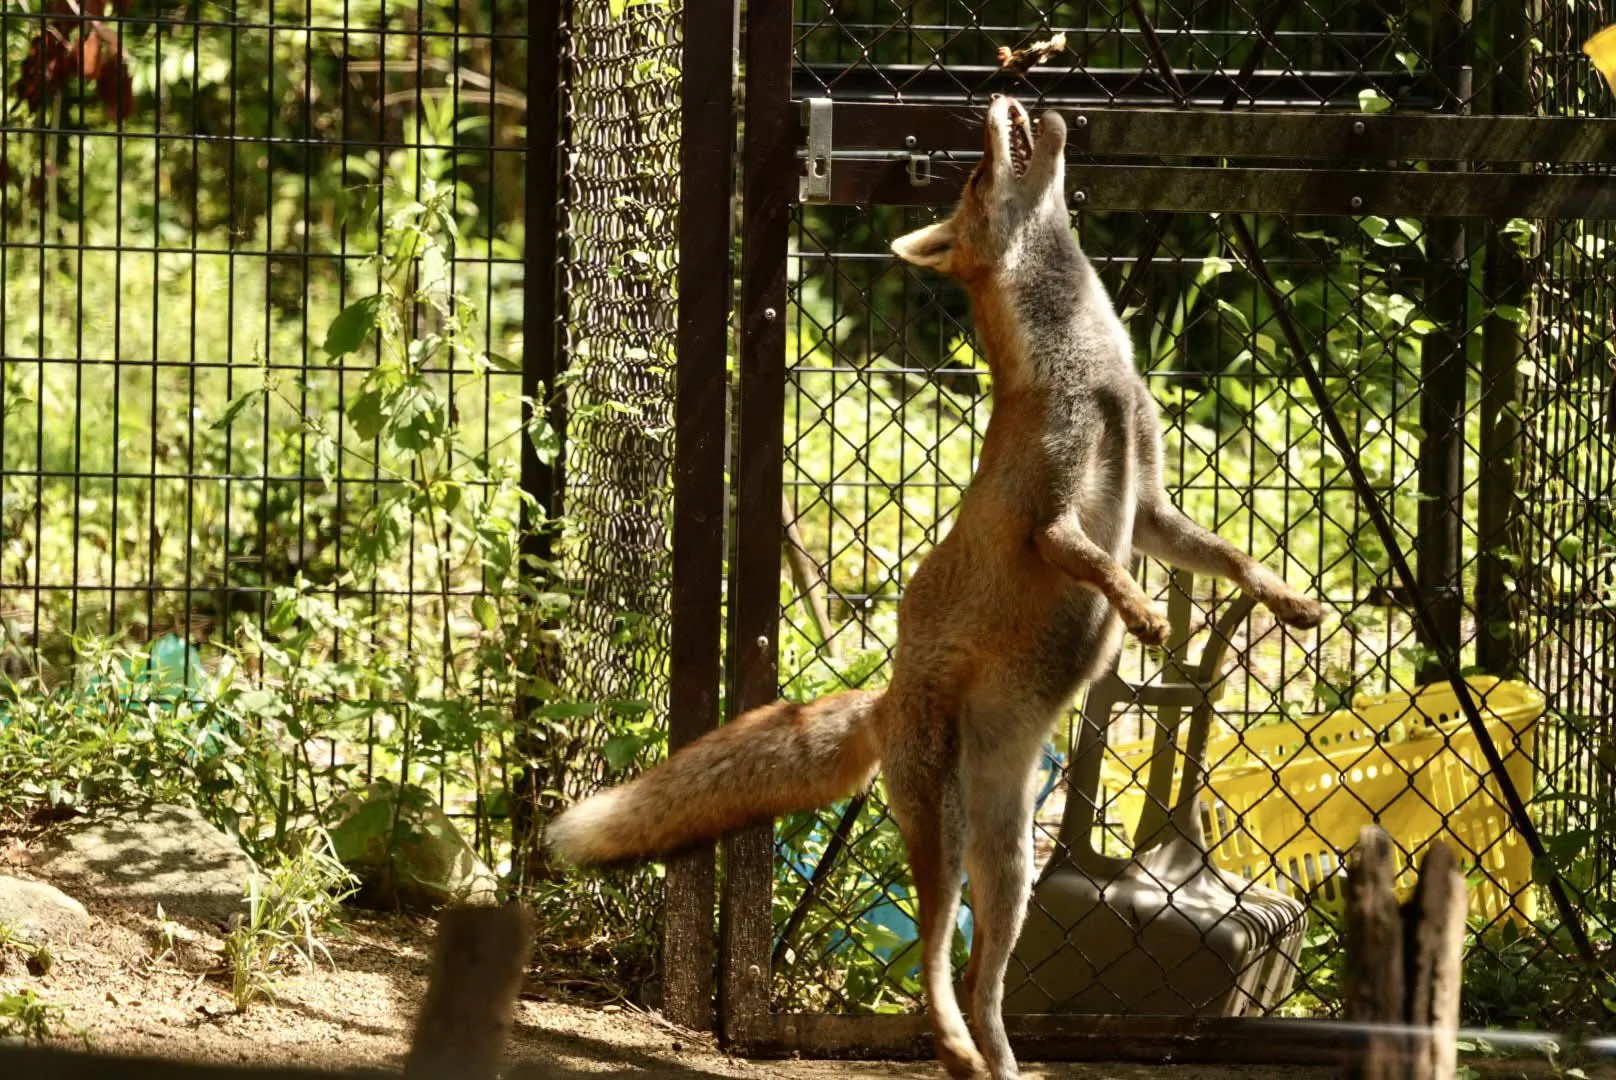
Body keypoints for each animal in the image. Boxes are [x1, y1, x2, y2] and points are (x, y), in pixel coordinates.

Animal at [547, 95, 1325, 1080]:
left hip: (1010, 871)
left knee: (985, 981)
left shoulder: (1149, 506)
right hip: (944, 845)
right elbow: (1101, 566)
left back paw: (998, 1062)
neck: (1094, 379)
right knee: (930, 965)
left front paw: (1289, 601)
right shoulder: (1054, 521)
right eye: (976, 171)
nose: (1002, 99)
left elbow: (1229, 559)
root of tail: (886, 700)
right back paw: (952, 1048)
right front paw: (1143, 613)